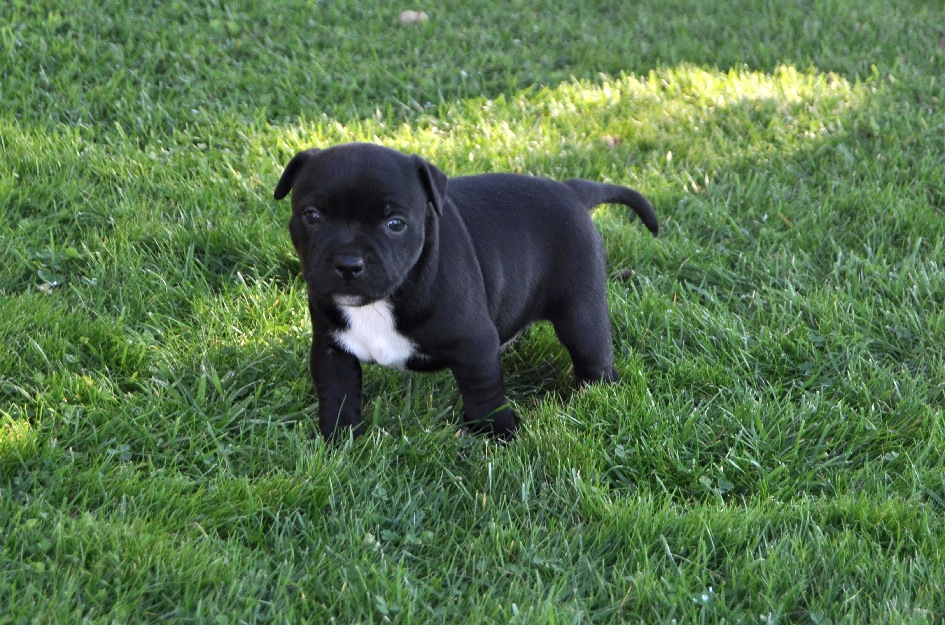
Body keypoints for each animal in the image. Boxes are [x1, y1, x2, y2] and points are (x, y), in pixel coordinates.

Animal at [272, 144, 656, 442]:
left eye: (395, 224)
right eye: (312, 216)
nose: (349, 263)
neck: (383, 301)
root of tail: (571, 190)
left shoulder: (474, 346)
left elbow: (483, 394)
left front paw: (500, 436)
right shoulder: (331, 348)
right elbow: (337, 396)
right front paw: (338, 442)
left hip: (580, 312)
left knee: (592, 354)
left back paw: (595, 398)